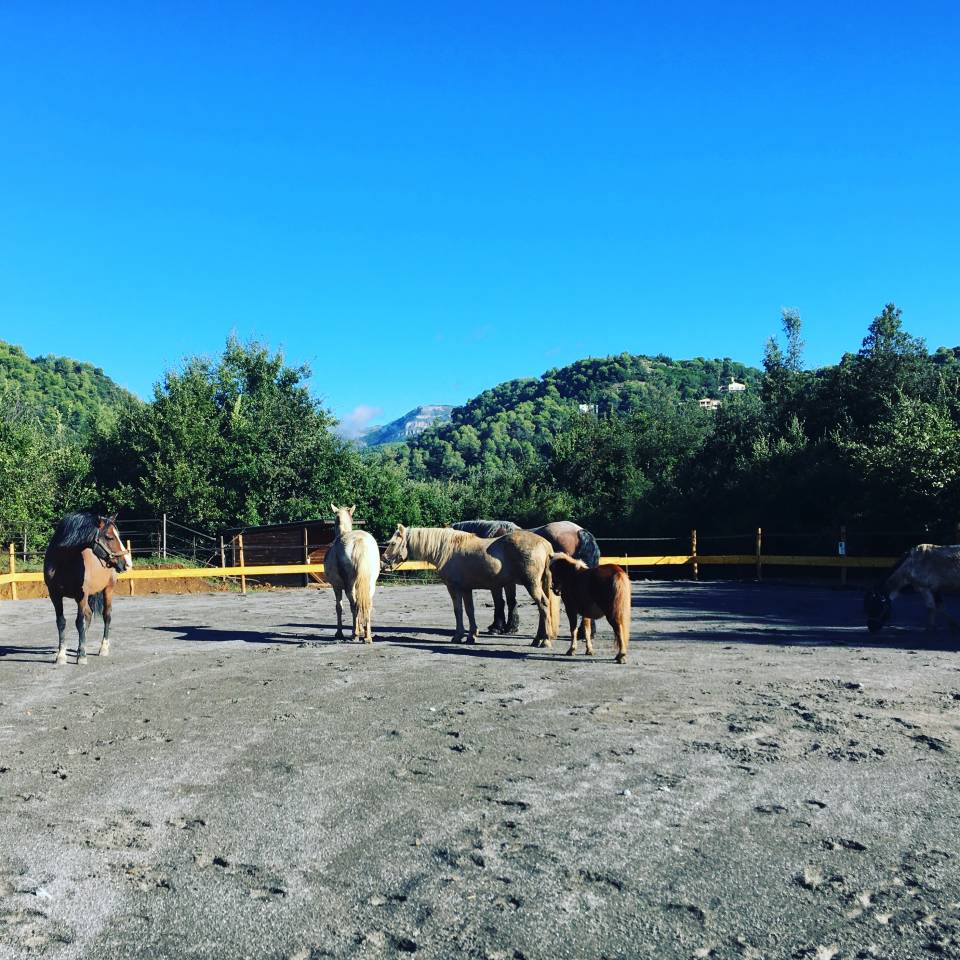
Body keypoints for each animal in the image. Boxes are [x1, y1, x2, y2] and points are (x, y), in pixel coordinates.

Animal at [43, 513, 132, 665]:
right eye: (109, 537)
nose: (127, 563)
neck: (63, 563)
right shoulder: (55, 596)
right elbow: (61, 622)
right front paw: (61, 655)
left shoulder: (81, 596)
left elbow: (80, 622)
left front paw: (82, 656)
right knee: (89, 615)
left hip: (108, 589)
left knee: (106, 616)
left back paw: (103, 648)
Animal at [323, 504, 381, 643]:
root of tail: (359, 540)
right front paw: (361, 630)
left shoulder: (336, 587)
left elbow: (339, 607)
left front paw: (339, 633)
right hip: (370, 585)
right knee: (367, 604)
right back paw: (367, 636)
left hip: (349, 586)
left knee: (354, 605)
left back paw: (355, 634)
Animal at [381, 525, 557, 645]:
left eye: (392, 543)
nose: (383, 563)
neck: (447, 549)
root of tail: (545, 544)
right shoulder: (466, 589)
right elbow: (469, 610)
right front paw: (472, 635)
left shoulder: (454, 588)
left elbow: (458, 610)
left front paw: (458, 636)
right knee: (543, 608)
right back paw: (538, 639)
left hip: (532, 585)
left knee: (543, 605)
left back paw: (544, 641)